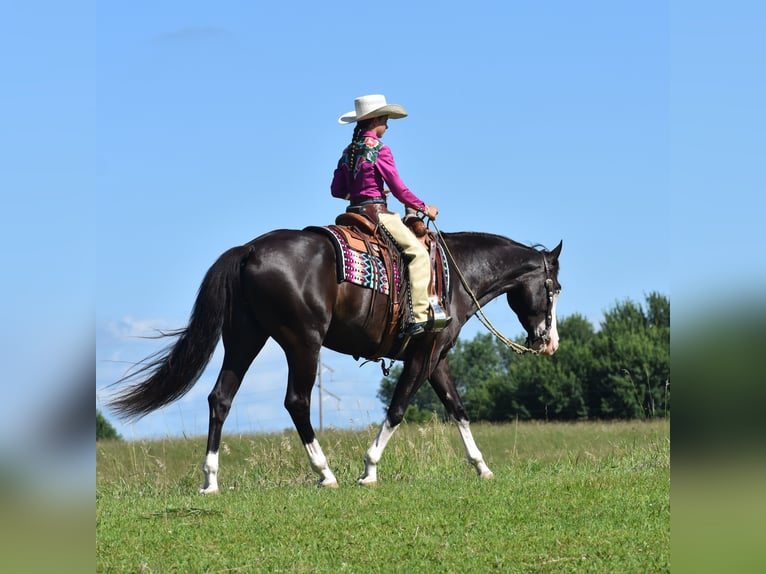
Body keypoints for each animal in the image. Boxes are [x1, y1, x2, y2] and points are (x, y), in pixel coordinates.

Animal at [108, 225, 562, 492]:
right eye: (555, 288)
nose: (550, 343)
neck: (453, 274)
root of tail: (249, 249)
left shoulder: (437, 358)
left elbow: (458, 409)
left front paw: (481, 467)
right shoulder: (424, 355)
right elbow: (398, 409)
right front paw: (369, 469)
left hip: (244, 340)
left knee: (221, 398)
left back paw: (210, 480)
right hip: (302, 343)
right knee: (297, 401)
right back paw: (325, 473)